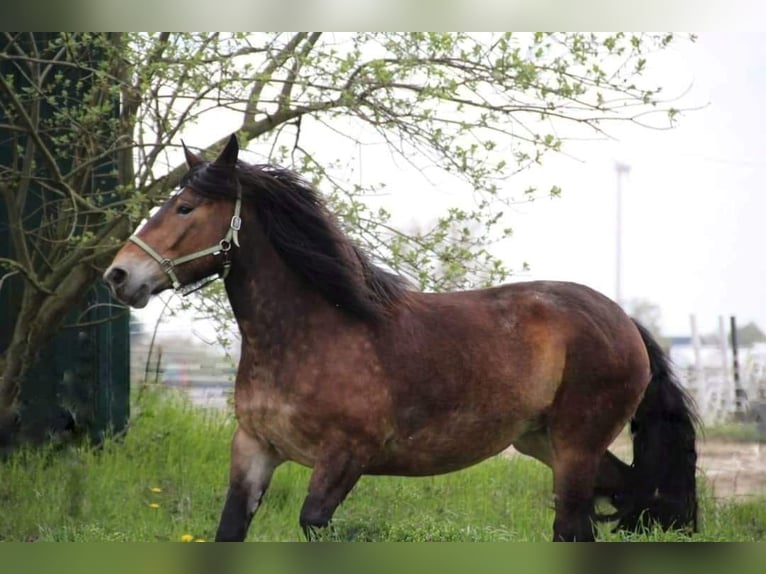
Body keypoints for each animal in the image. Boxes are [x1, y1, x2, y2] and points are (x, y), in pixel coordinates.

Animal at [105, 135, 700, 544]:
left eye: (184, 208)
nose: (119, 275)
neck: (311, 335)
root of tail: (624, 321)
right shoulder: (253, 449)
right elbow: (229, 530)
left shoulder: (344, 457)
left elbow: (313, 523)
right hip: (545, 443)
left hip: (576, 445)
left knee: (574, 528)